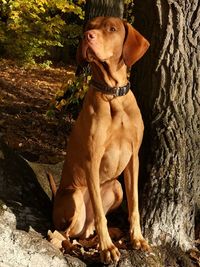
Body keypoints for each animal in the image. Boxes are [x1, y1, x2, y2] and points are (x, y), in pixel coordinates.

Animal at [52, 16, 149, 264]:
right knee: (67, 233)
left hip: (116, 187)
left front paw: (137, 238)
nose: (87, 36)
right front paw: (107, 249)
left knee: (87, 231)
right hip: (75, 195)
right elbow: (98, 213)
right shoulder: (92, 160)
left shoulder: (134, 158)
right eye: (89, 27)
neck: (113, 95)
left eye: (112, 29)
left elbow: (134, 204)